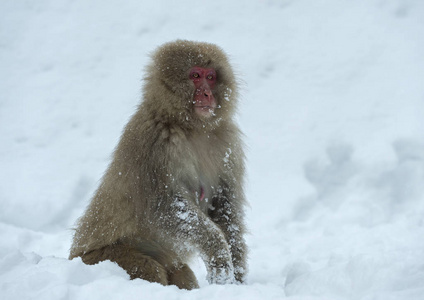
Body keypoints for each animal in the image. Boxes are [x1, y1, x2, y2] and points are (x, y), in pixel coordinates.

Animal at [68, 41, 248, 290]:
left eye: (211, 77)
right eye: (195, 75)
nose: (207, 93)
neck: (191, 128)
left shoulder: (228, 146)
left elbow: (225, 208)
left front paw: (236, 279)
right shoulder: (154, 143)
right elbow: (163, 206)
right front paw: (218, 254)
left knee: (181, 272)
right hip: (100, 257)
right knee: (148, 268)